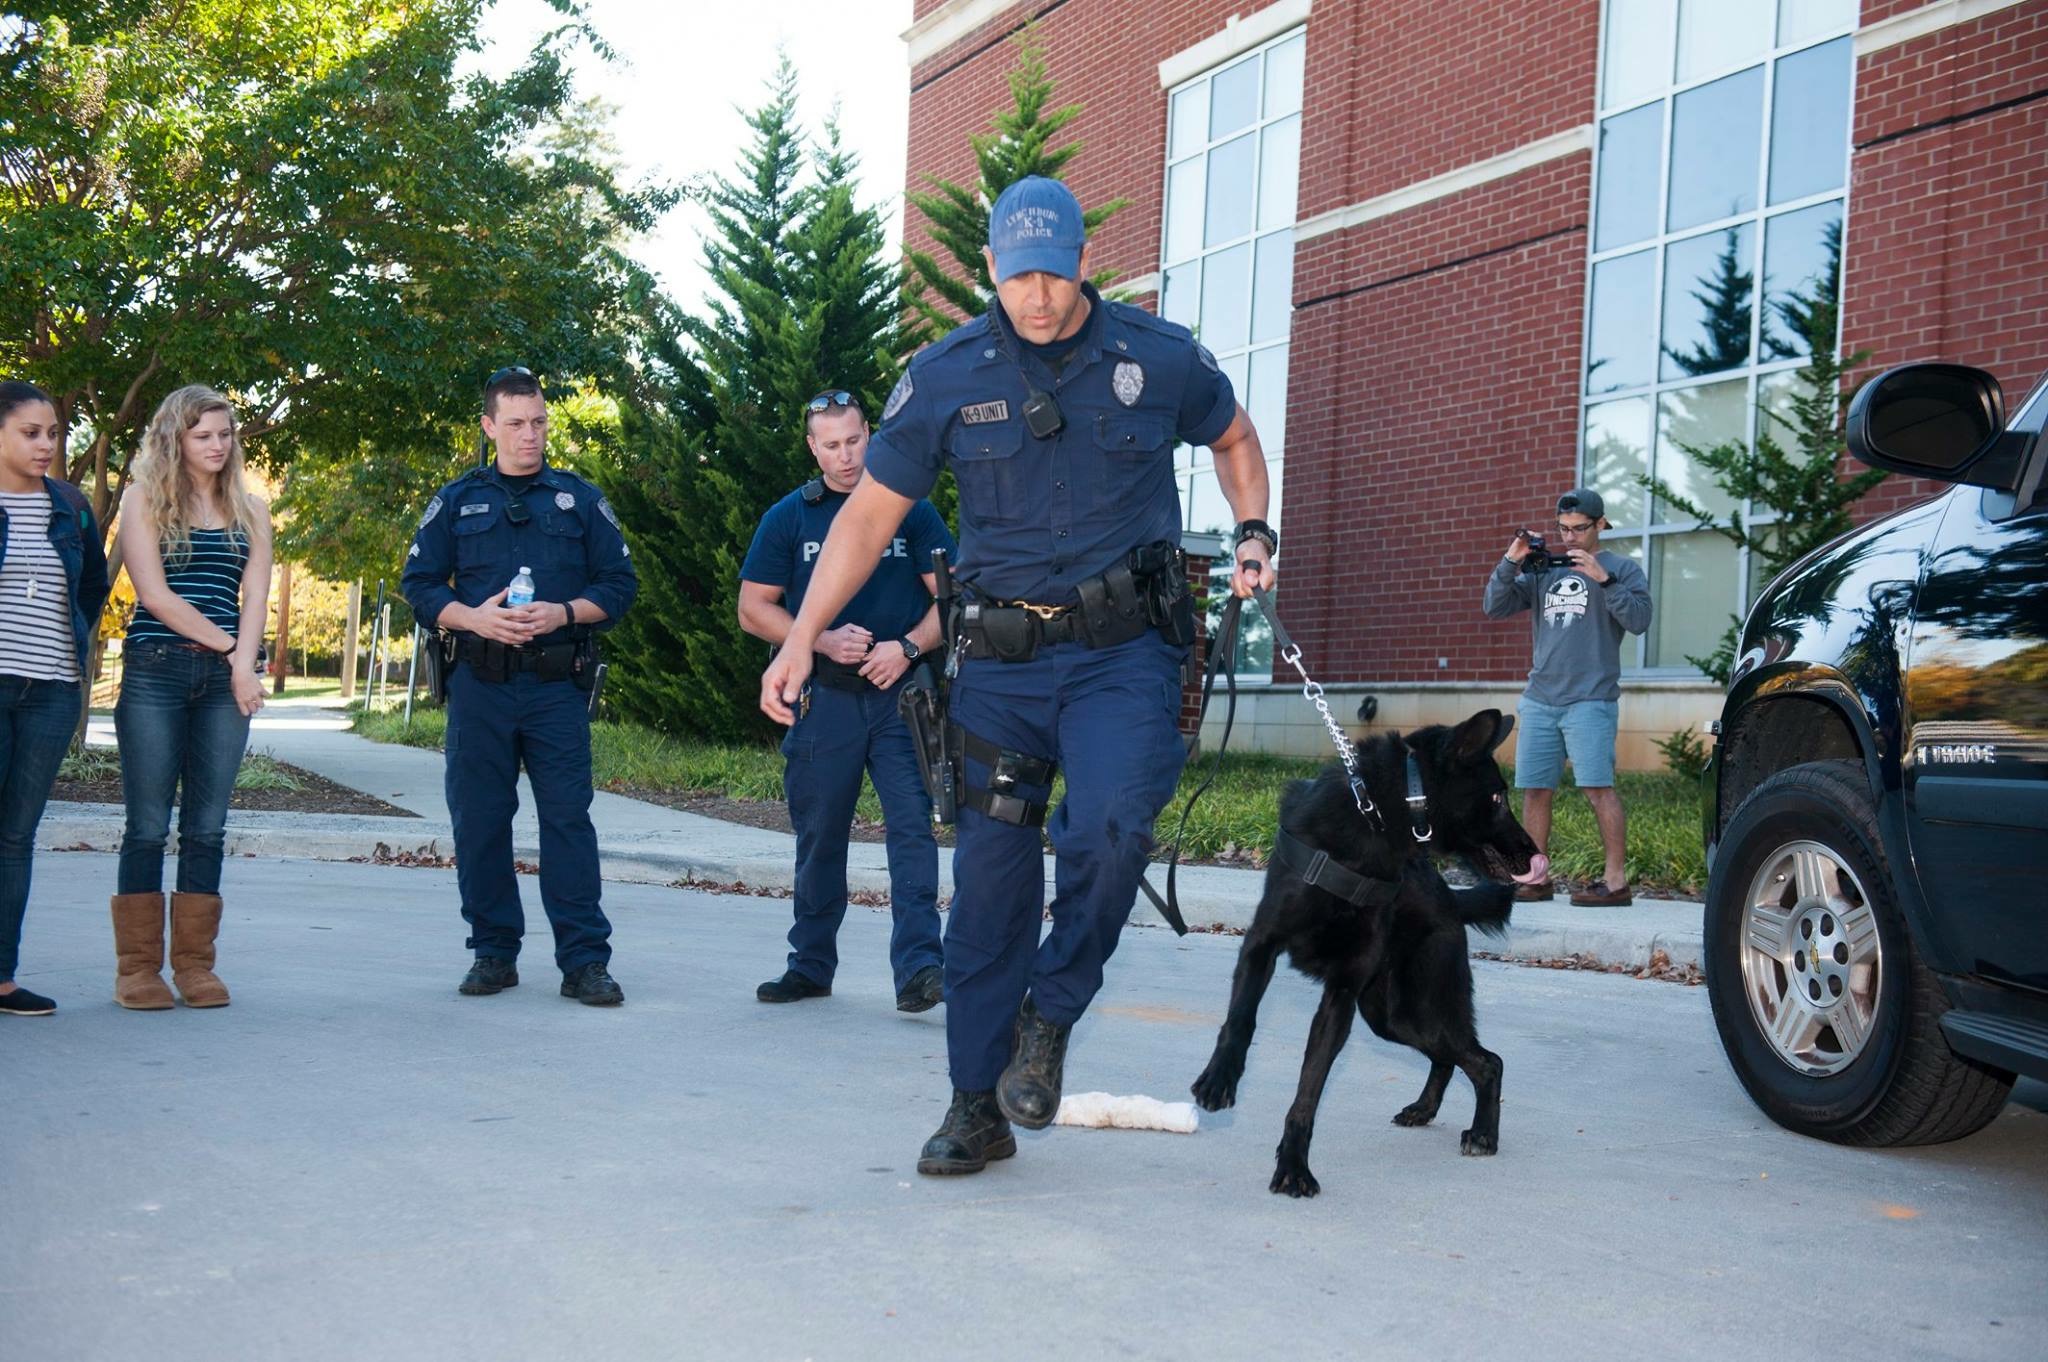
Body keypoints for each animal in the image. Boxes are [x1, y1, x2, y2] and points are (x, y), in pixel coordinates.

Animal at [1190, 709, 1548, 1197]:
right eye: (1496, 797)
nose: (1536, 857)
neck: (1374, 820)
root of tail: (1449, 898)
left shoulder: (1340, 994)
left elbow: (1309, 1092)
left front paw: (1294, 1165)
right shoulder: (1260, 945)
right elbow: (1241, 1018)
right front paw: (1220, 1078)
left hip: (1412, 1006)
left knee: (1486, 1061)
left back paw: (1482, 1134)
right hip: (1390, 1016)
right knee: (1451, 1056)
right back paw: (1425, 1109)